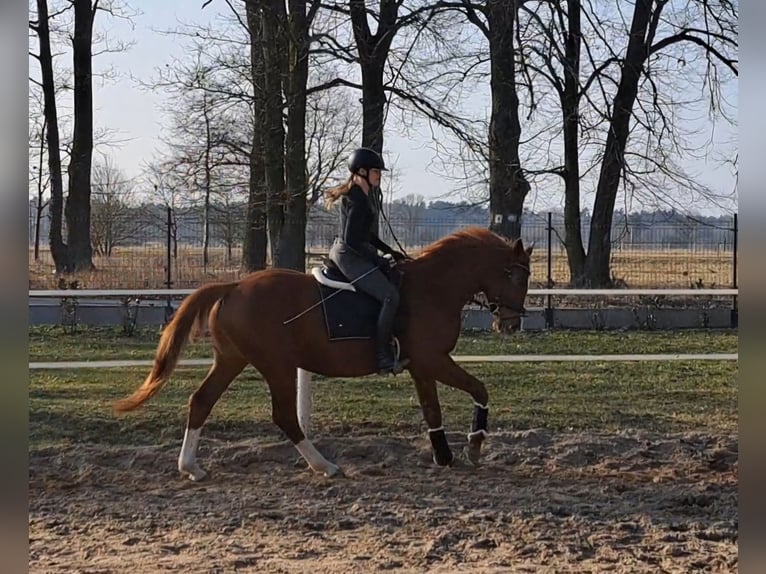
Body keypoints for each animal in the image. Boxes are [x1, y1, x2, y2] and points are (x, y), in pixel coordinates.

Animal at [114, 228, 536, 482]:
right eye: (516, 275)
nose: (512, 323)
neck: (433, 288)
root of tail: (234, 286)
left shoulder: (421, 366)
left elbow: (432, 411)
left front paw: (445, 456)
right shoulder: (433, 360)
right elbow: (479, 389)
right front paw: (475, 445)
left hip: (233, 360)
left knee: (201, 401)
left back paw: (192, 467)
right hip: (277, 365)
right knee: (284, 415)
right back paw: (325, 465)